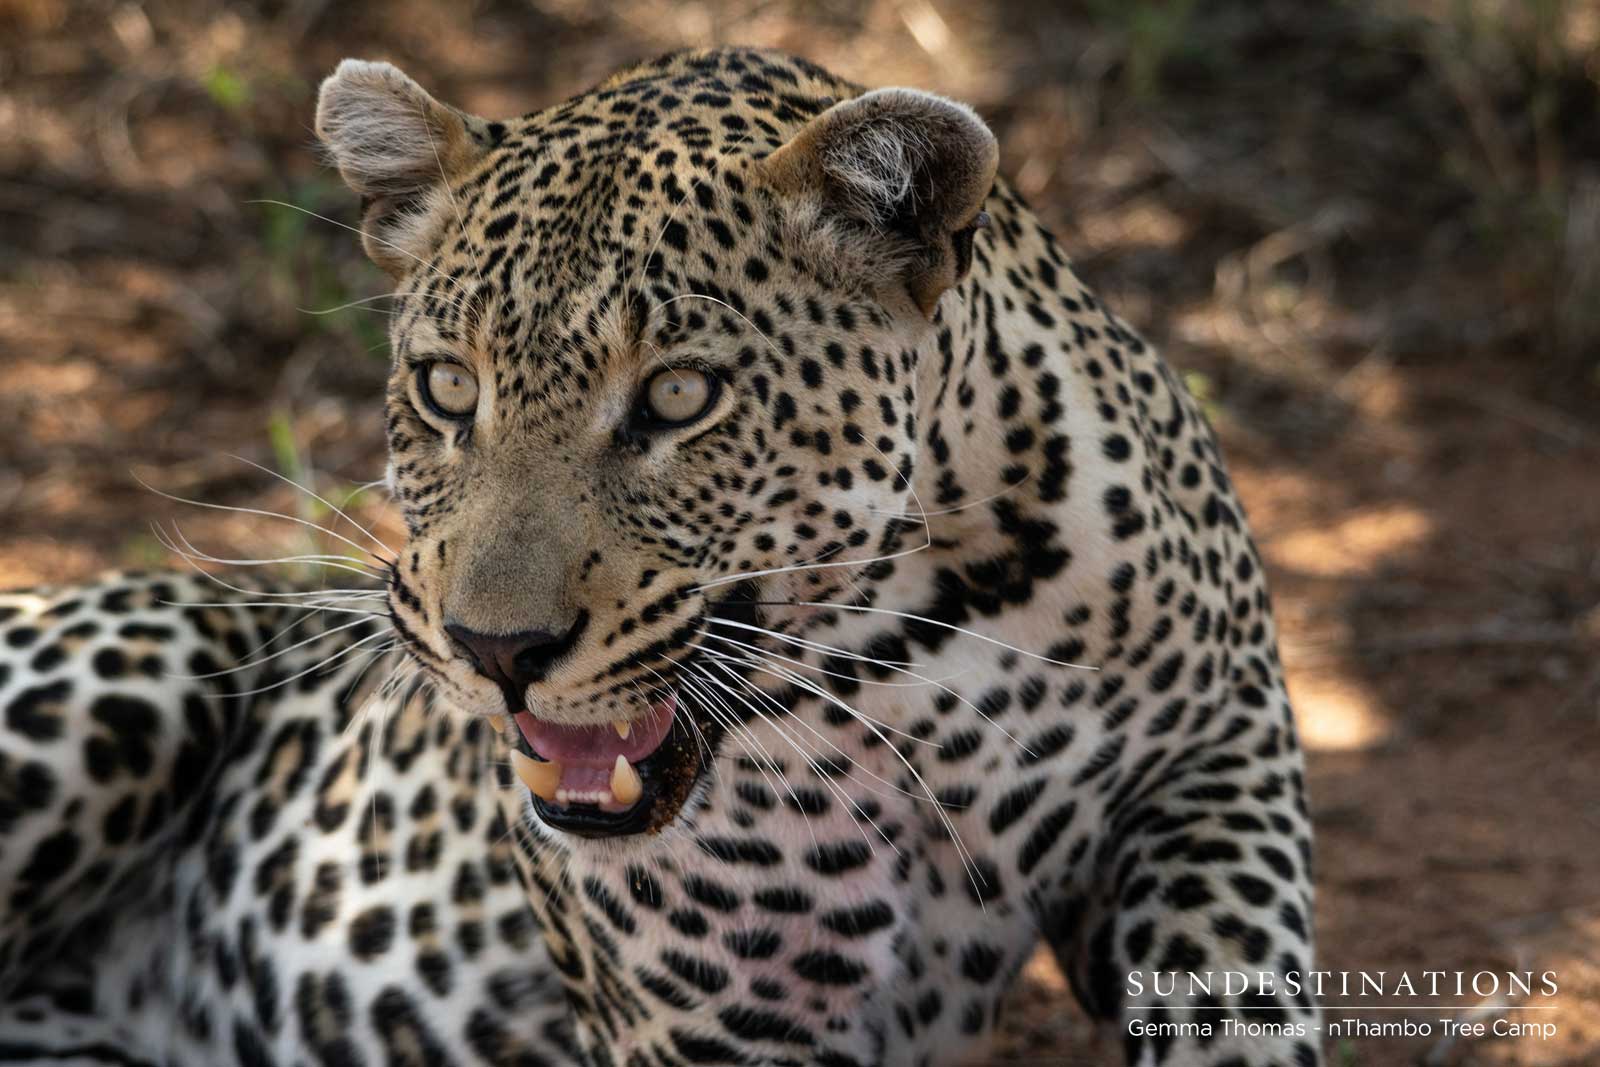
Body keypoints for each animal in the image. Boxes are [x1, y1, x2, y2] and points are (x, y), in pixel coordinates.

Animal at [0, 47, 1320, 1067]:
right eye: (447, 388)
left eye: (679, 397)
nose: (497, 650)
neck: (914, 644)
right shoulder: (718, 1019)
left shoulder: (1220, 752)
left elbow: (1241, 977)